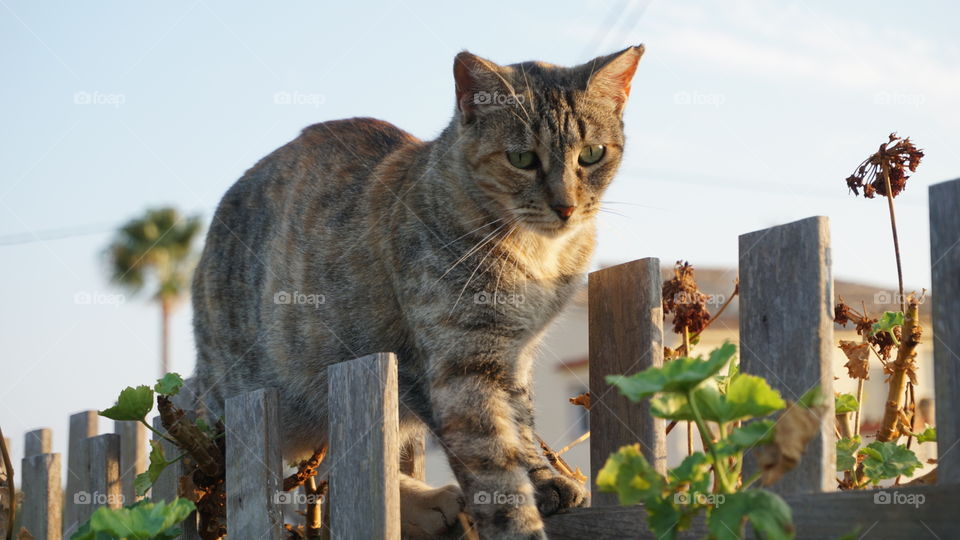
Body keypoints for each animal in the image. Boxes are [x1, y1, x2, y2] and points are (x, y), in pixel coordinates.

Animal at [193, 44, 644, 536]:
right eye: (522, 159)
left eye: (592, 154)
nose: (565, 206)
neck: (540, 255)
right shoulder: (459, 365)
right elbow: (495, 457)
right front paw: (524, 508)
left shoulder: (515, 357)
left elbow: (522, 426)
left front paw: (544, 477)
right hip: (231, 396)